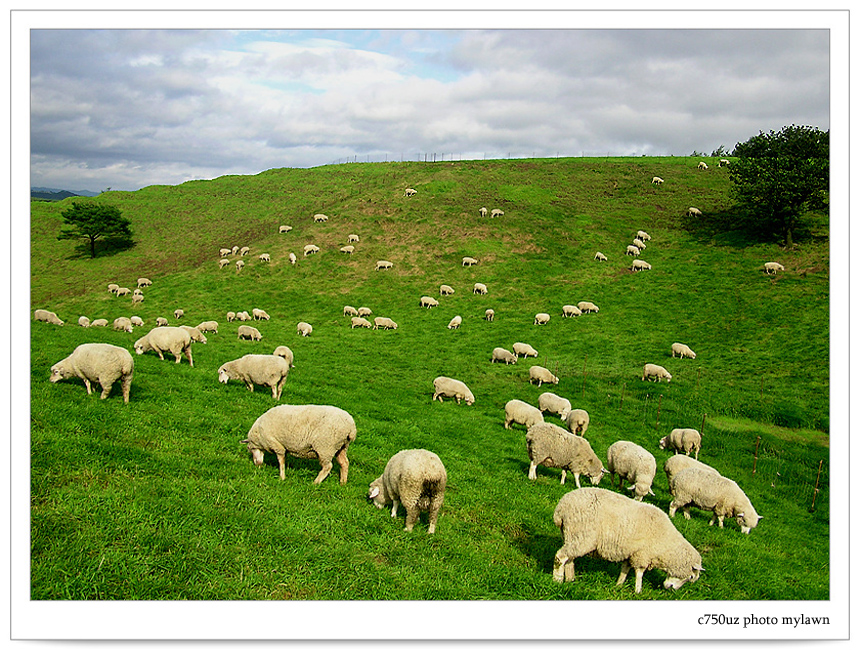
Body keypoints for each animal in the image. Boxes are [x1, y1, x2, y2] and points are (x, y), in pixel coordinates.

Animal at [556, 486, 704, 592]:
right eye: (691, 576)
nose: (672, 589)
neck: (667, 546)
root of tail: (560, 508)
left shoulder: (631, 553)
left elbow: (625, 569)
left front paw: (619, 585)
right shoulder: (642, 555)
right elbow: (640, 573)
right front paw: (638, 591)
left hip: (571, 536)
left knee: (569, 559)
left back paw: (570, 580)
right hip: (582, 536)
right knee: (560, 557)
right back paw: (557, 580)